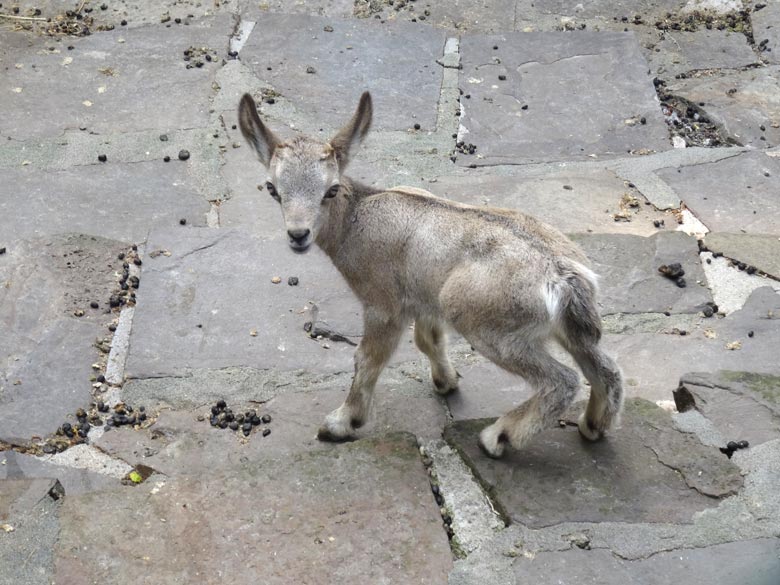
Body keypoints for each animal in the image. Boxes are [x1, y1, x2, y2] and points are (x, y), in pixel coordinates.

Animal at [238, 91, 620, 456]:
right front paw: (446, 381)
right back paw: (592, 426)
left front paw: (342, 422)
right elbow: (428, 339)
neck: (355, 220)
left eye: (330, 189)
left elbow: (366, 358)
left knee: (562, 380)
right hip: (570, 330)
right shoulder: (424, 298)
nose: (298, 235)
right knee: (606, 369)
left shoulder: (383, 304)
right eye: (273, 188)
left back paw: (499, 437)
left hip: (491, 327)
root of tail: (562, 277)